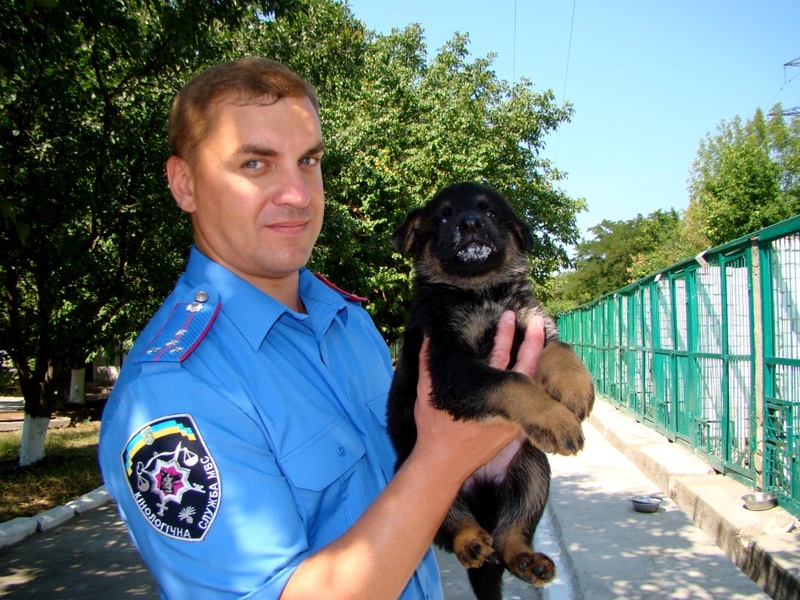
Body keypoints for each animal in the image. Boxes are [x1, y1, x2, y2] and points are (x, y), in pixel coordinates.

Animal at [387, 182, 595, 600]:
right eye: (443, 218)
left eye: (492, 213)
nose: (470, 224)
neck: (482, 293)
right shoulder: (451, 366)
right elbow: (511, 380)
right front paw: (556, 419)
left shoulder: (532, 323)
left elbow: (560, 348)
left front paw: (575, 387)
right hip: (426, 482)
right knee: (459, 529)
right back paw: (470, 540)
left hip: (532, 470)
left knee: (509, 534)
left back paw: (526, 559)